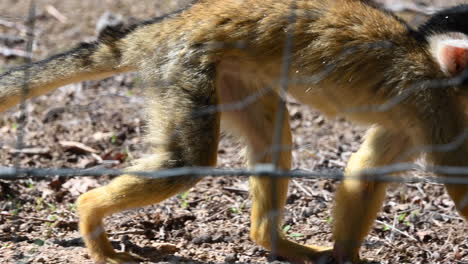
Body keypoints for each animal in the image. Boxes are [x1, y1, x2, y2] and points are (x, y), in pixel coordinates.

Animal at [0, 0, 468, 262]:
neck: (431, 63)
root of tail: (159, 28)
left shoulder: (421, 114)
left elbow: (366, 170)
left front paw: (346, 256)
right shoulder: (436, 102)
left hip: (233, 74)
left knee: (272, 139)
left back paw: (271, 240)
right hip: (181, 69)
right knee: (187, 161)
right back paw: (90, 213)